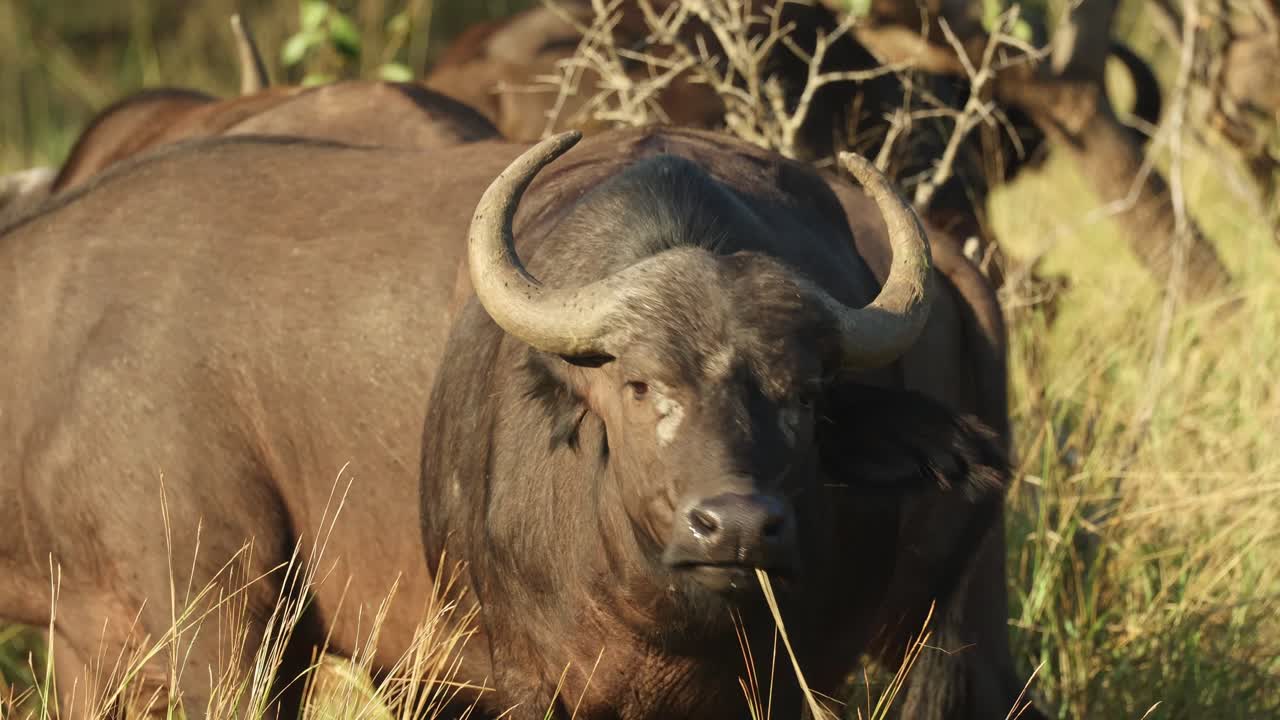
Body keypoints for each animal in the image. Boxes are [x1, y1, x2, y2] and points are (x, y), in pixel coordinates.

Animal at [0, 125, 1035, 719]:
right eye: (637, 386)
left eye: (809, 396)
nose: (738, 525)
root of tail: (957, 264)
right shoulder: (90, 647)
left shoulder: (223, 618)